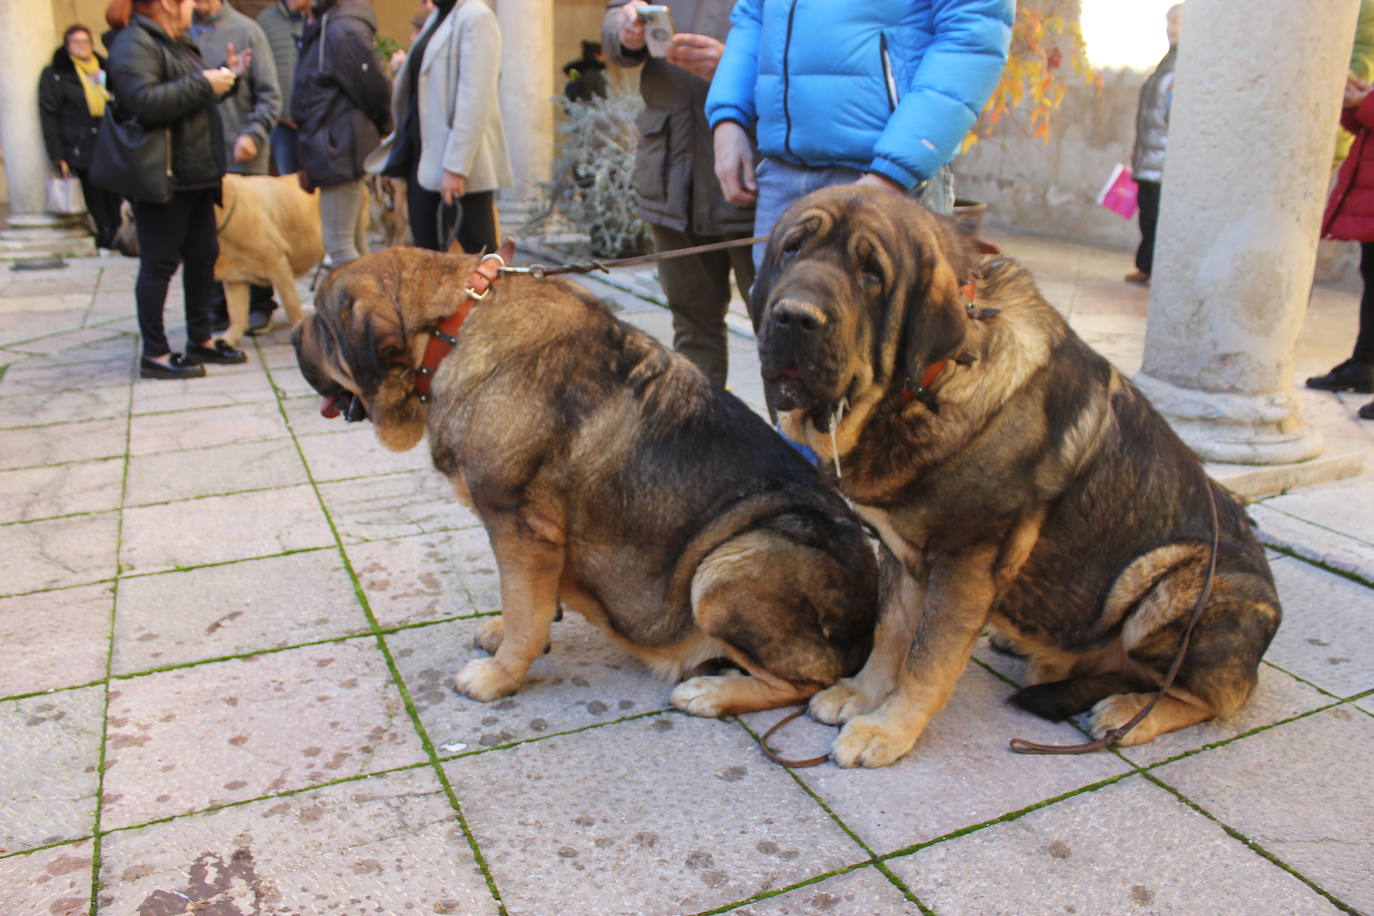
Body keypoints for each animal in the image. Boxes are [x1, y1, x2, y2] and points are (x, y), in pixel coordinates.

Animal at [294, 247, 873, 719]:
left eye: (322, 324)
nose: (297, 334)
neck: (451, 326)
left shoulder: (518, 526)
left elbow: (523, 610)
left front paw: (499, 676)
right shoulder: (533, 540)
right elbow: (526, 601)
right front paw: (508, 634)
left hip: (728, 563)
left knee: (812, 681)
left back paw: (710, 694)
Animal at [752, 184, 1275, 769]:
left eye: (872, 274)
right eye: (793, 249)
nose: (795, 318)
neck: (930, 385)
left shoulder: (967, 561)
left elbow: (928, 657)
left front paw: (886, 729)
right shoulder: (900, 550)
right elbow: (892, 631)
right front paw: (862, 695)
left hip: (1175, 580)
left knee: (1209, 693)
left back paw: (1129, 712)